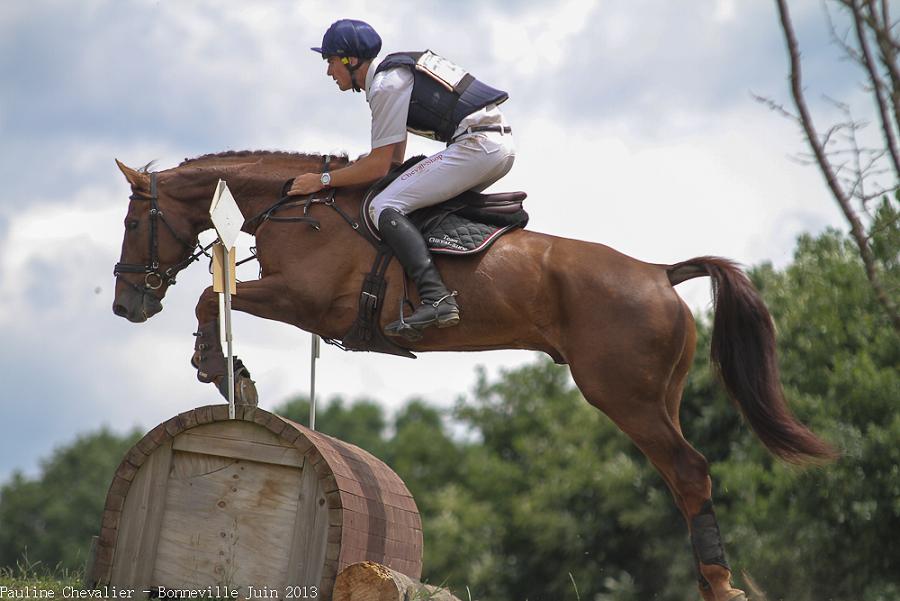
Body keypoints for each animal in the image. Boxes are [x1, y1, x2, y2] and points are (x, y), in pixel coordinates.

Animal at [110, 151, 836, 600]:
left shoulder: (306, 301)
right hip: (659, 393)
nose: (126, 305)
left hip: (620, 393)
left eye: (132, 222)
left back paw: (718, 584)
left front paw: (221, 369)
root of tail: (659, 272)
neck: (297, 207)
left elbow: (211, 295)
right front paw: (227, 372)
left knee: (687, 471)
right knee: (688, 471)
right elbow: (215, 295)